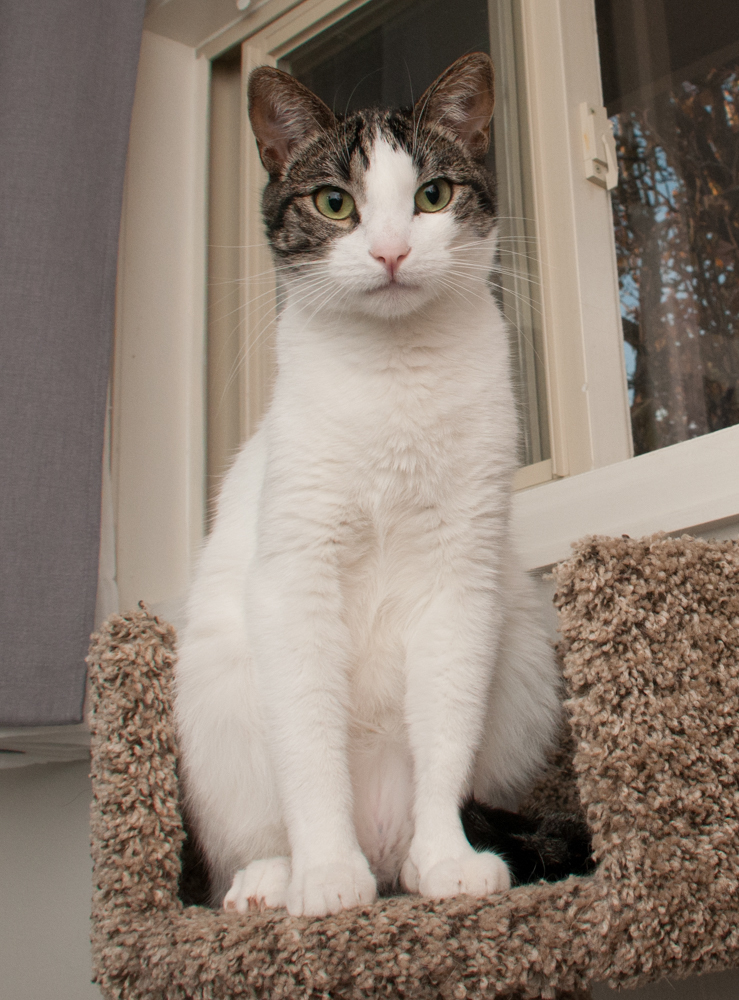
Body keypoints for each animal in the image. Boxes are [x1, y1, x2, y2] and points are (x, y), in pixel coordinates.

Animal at [175, 50, 560, 916]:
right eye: (334, 202)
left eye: (432, 195)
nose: (389, 251)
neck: (394, 379)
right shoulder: (295, 577)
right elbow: (310, 749)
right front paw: (323, 876)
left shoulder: (460, 582)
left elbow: (444, 733)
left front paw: (447, 858)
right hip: (216, 707)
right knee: (257, 827)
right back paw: (272, 879)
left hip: (521, 656)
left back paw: (413, 863)